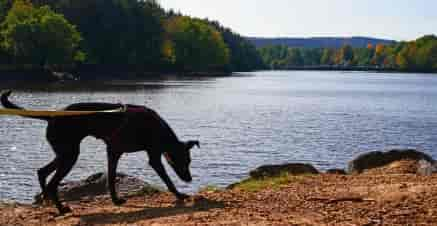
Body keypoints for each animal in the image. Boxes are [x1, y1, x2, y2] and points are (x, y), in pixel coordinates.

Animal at [0, 90, 198, 214]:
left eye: (189, 161)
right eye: (184, 161)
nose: (189, 179)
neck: (157, 129)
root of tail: (53, 115)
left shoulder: (115, 152)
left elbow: (110, 178)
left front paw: (116, 200)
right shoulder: (151, 158)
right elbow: (167, 180)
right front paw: (180, 195)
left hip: (64, 153)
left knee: (42, 172)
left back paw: (48, 202)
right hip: (70, 155)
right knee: (52, 183)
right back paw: (61, 209)